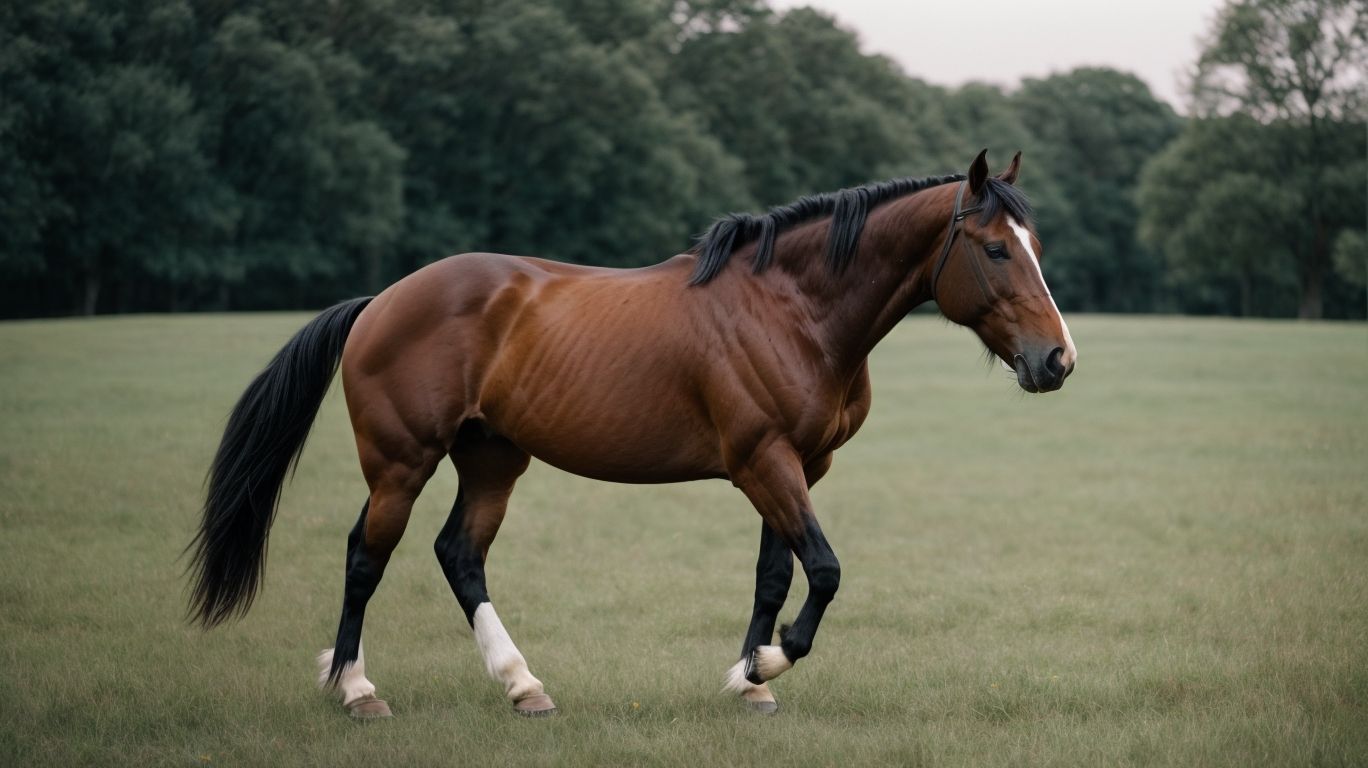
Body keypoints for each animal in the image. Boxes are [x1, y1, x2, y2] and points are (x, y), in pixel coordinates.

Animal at [187, 149, 1076, 718]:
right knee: (365, 559)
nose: (1057, 359)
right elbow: (822, 571)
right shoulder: (765, 464)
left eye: (1037, 246)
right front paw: (771, 659)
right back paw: (356, 689)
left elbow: (773, 575)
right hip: (401, 464)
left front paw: (750, 679)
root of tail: (381, 300)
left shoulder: (798, 466)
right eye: (994, 249)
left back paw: (523, 686)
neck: (791, 309)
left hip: (491, 460)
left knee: (459, 555)